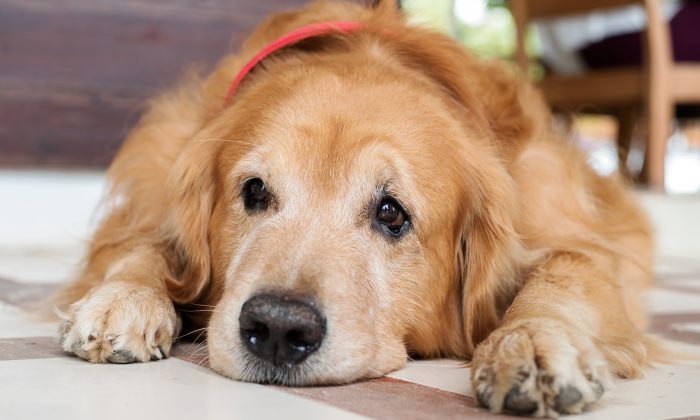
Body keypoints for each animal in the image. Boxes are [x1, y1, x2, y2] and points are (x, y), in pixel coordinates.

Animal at [54, 0, 660, 416]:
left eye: (391, 213)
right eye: (254, 192)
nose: (278, 327)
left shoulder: (569, 223)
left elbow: (568, 269)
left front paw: (530, 340)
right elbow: (144, 241)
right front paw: (124, 296)